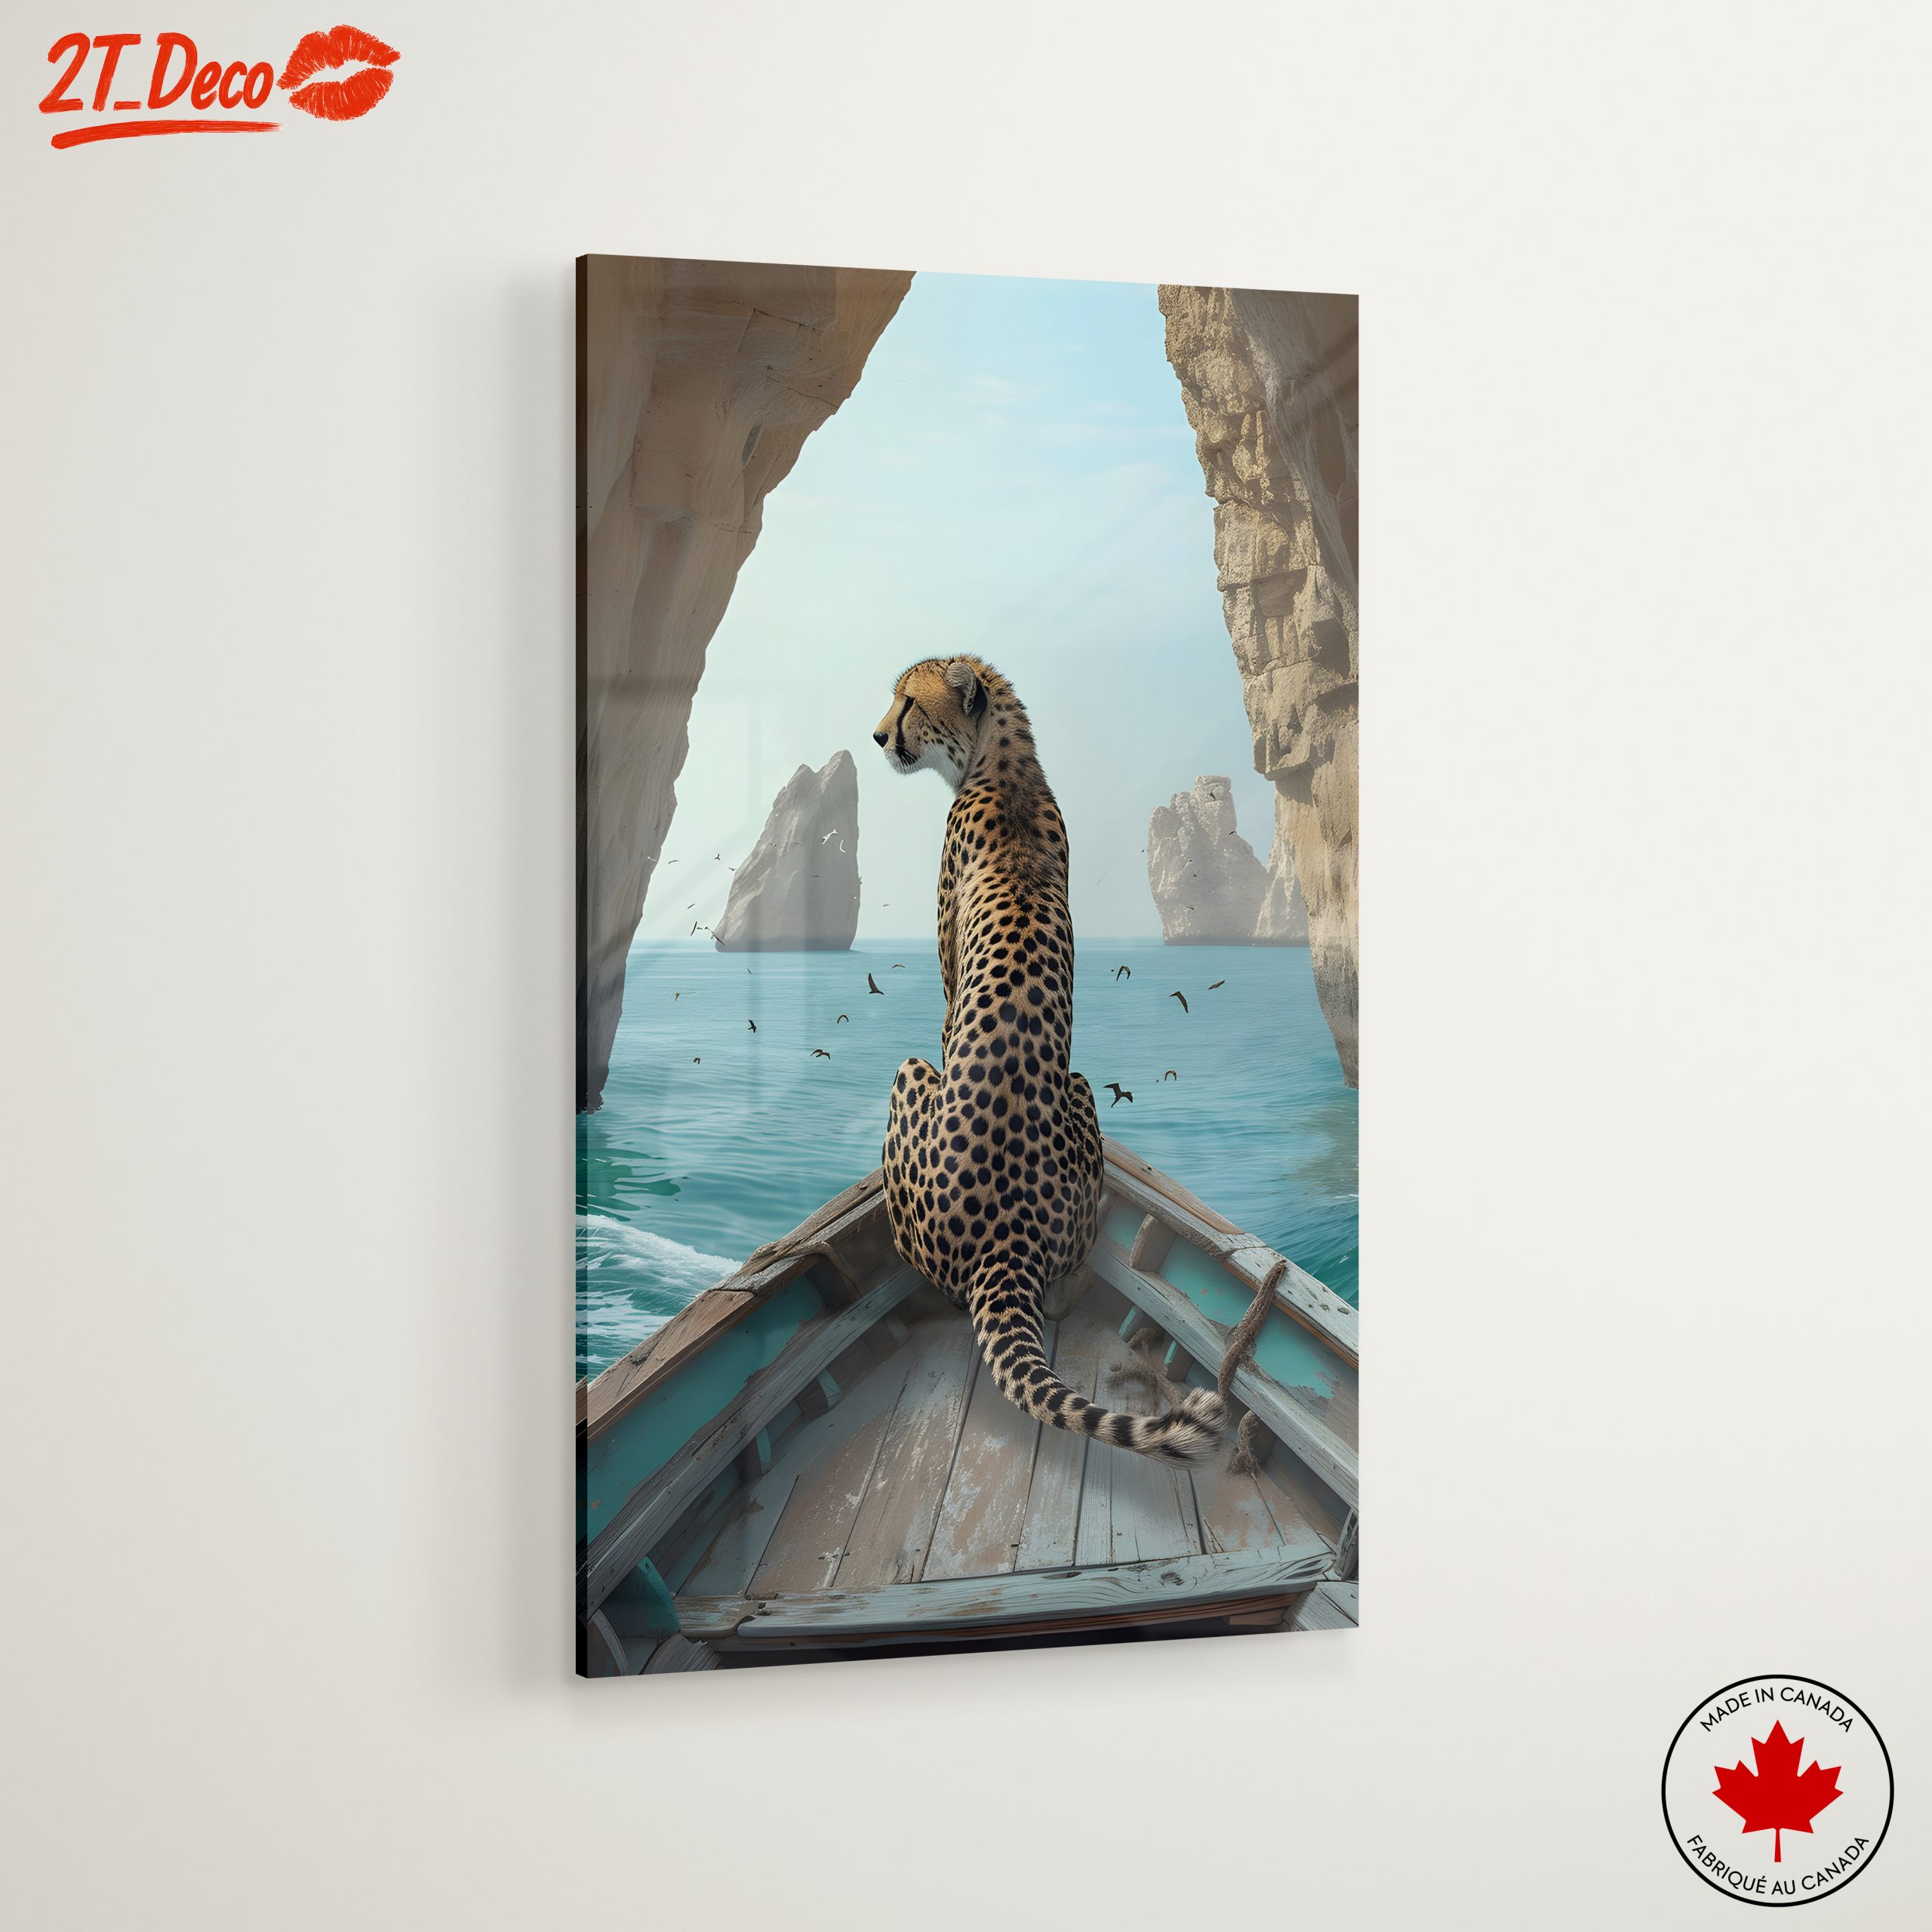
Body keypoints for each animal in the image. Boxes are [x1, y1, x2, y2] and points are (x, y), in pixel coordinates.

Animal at [871, 655, 1224, 1463]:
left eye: (908, 702)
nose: (877, 737)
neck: (1005, 765)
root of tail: (1007, 1240)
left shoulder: (946, 986)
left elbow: (943, 1015)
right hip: (1083, 1088)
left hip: (915, 1082)